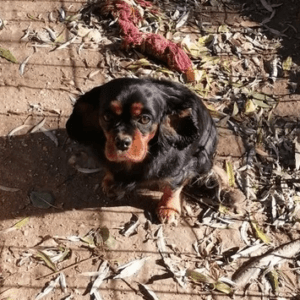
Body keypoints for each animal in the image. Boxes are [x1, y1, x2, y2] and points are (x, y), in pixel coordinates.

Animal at [67, 77, 217, 225]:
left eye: (145, 119)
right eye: (107, 116)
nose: (122, 142)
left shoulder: (179, 168)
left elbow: (173, 188)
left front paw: (168, 209)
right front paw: (111, 182)